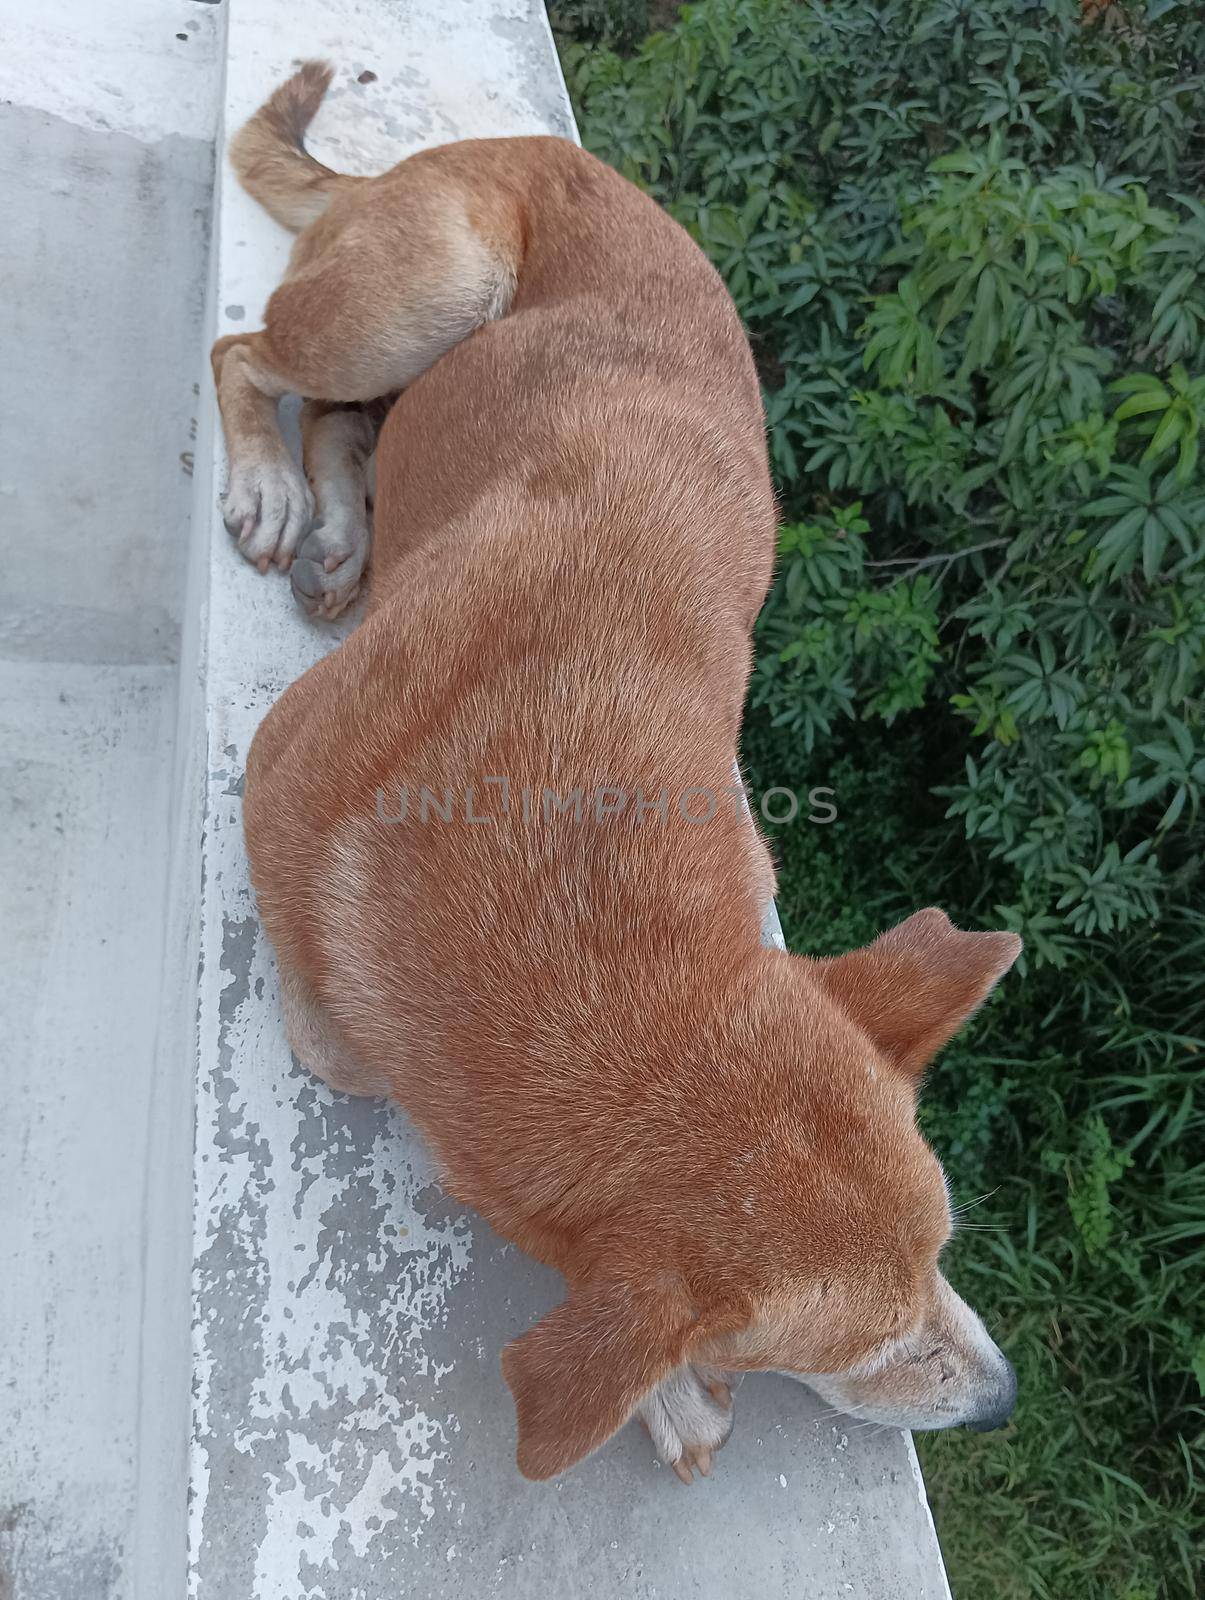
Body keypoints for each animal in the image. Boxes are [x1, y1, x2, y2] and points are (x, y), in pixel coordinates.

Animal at [211, 62, 1017, 1484]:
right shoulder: (269, 783)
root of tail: (512, 146)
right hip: (425, 293)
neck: (568, 862)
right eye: (861, 1350)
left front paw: (663, 1386)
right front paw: (666, 1388)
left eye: (941, 1258)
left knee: (350, 418)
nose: (1002, 1401)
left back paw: (349, 515)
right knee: (249, 355)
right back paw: (280, 483)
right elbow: (339, 1048)